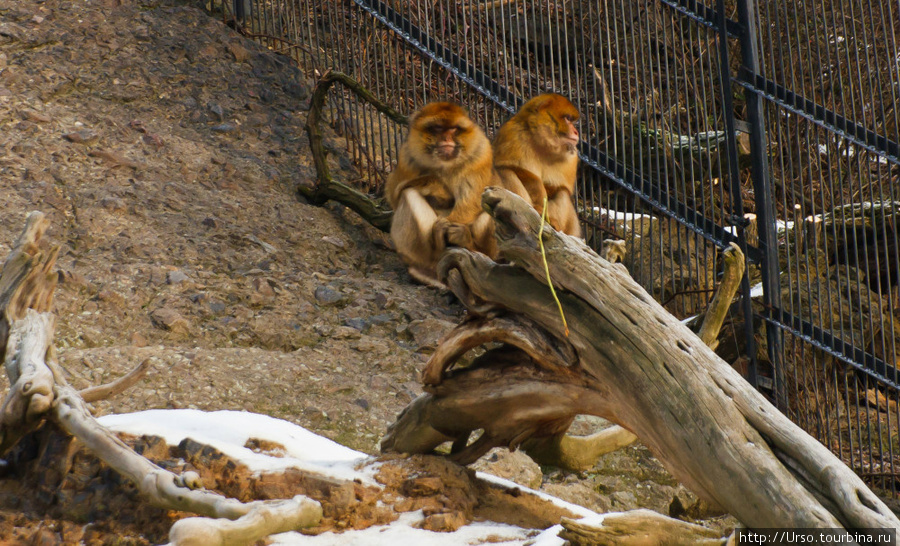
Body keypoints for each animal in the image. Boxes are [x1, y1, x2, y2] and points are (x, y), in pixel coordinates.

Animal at [386, 101, 500, 284]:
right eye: (438, 128)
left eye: (454, 129)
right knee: (409, 193)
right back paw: (438, 245)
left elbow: (473, 201)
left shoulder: (481, 153)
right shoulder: (407, 156)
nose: (446, 139)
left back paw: (467, 242)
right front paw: (437, 186)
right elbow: (395, 193)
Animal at [492, 93, 584, 236]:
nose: (576, 132)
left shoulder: (571, 157)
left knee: (562, 193)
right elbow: (519, 171)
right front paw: (539, 203)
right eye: (567, 119)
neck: (542, 144)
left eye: (571, 121)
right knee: (505, 171)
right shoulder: (512, 134)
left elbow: (558, 187)